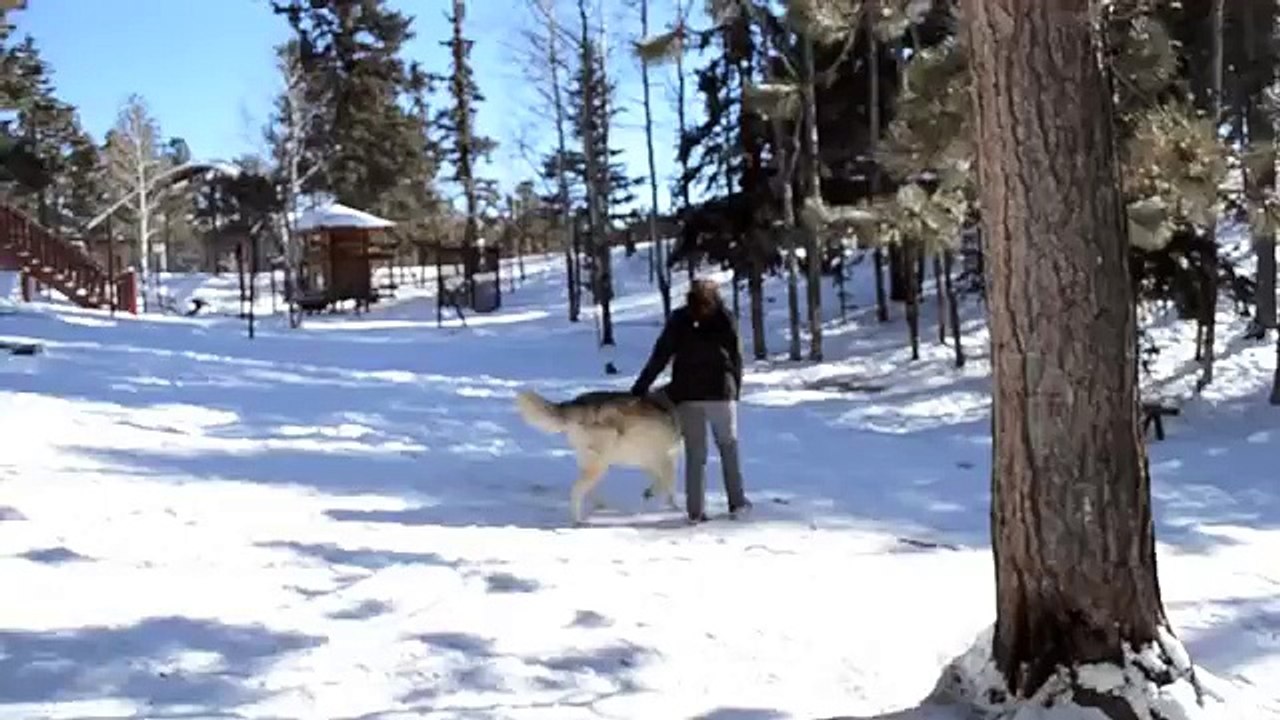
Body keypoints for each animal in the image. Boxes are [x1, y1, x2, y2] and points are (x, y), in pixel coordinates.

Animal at [514, 387, 683, 524]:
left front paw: (653, 497)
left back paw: (601, 507)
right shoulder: (664, 460)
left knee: (588, 491)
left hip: (595, 465)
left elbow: (662, 485)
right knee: (577, 490)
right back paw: (578, 521)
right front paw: (673, 508)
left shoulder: (654, 461)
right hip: (600, 465)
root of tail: (576, 403)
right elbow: (668, 486)